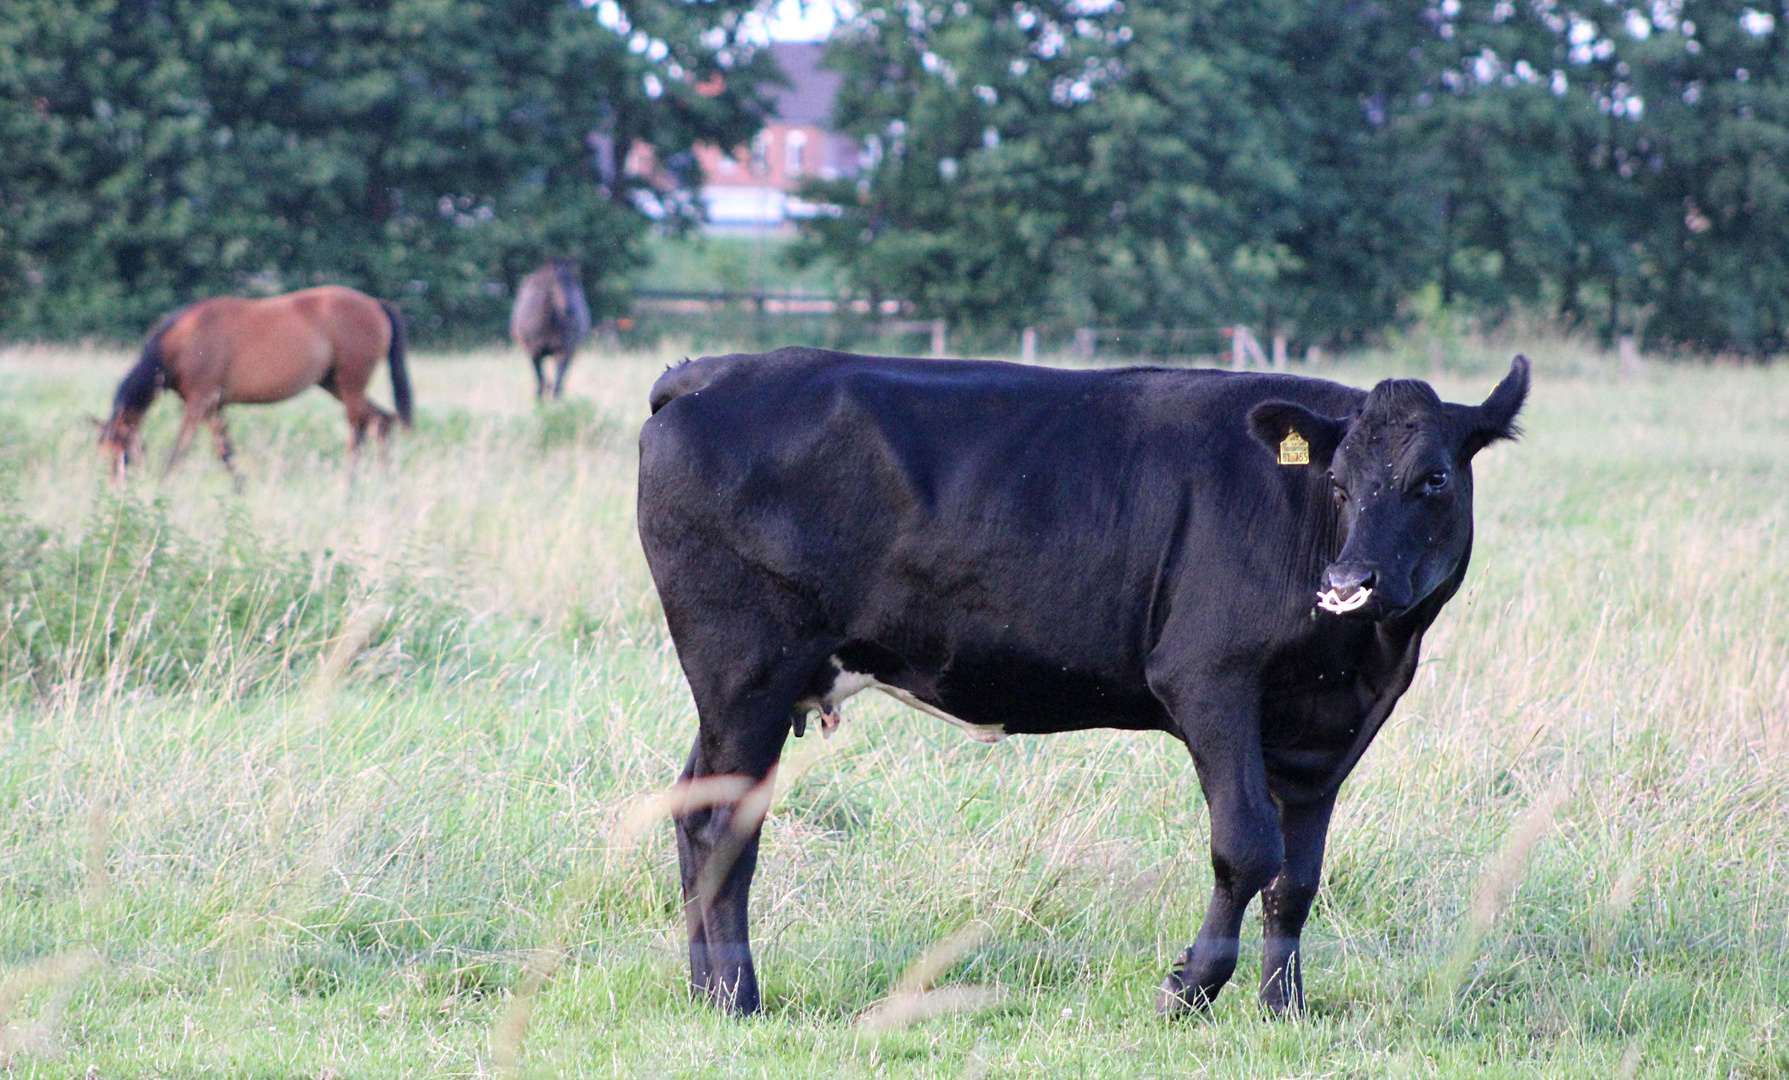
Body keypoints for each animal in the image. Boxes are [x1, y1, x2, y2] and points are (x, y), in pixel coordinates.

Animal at [101, 284, 415, 479]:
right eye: (104, 454)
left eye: (122, 454)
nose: (117, 490)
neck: (183, 342)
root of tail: (376, 304)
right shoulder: (213, 407)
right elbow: (225, 452)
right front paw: (241, 489)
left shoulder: (199, 403)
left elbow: (180, 450)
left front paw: (164, 483)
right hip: (334, 384)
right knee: (381, 421)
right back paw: (384, 483)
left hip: (350, 385)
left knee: (358, 429)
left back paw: (350, 485)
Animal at [511, 259, 593, 400]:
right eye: (554, 282)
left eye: (574, 282)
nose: (569, 309)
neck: (548, 324)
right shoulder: (535, 353)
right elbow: (540, 379)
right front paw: (539, 400)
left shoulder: (563, 351)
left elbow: (558, 381)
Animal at [636, 348, 1531, 1022]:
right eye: (1339, 484)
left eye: (1434, 480)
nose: (1347, 583)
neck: (1363, 652)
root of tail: (714, 372)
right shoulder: (1209, 679)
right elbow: (1246, 846)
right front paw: (1187, 990)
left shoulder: (1326, 730)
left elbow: (1297, 877)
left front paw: (1284, 1009)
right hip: (744, 668)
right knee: (722, 824)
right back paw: (735, 998)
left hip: (741, 689)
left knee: (694, 807)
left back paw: (704, 991)